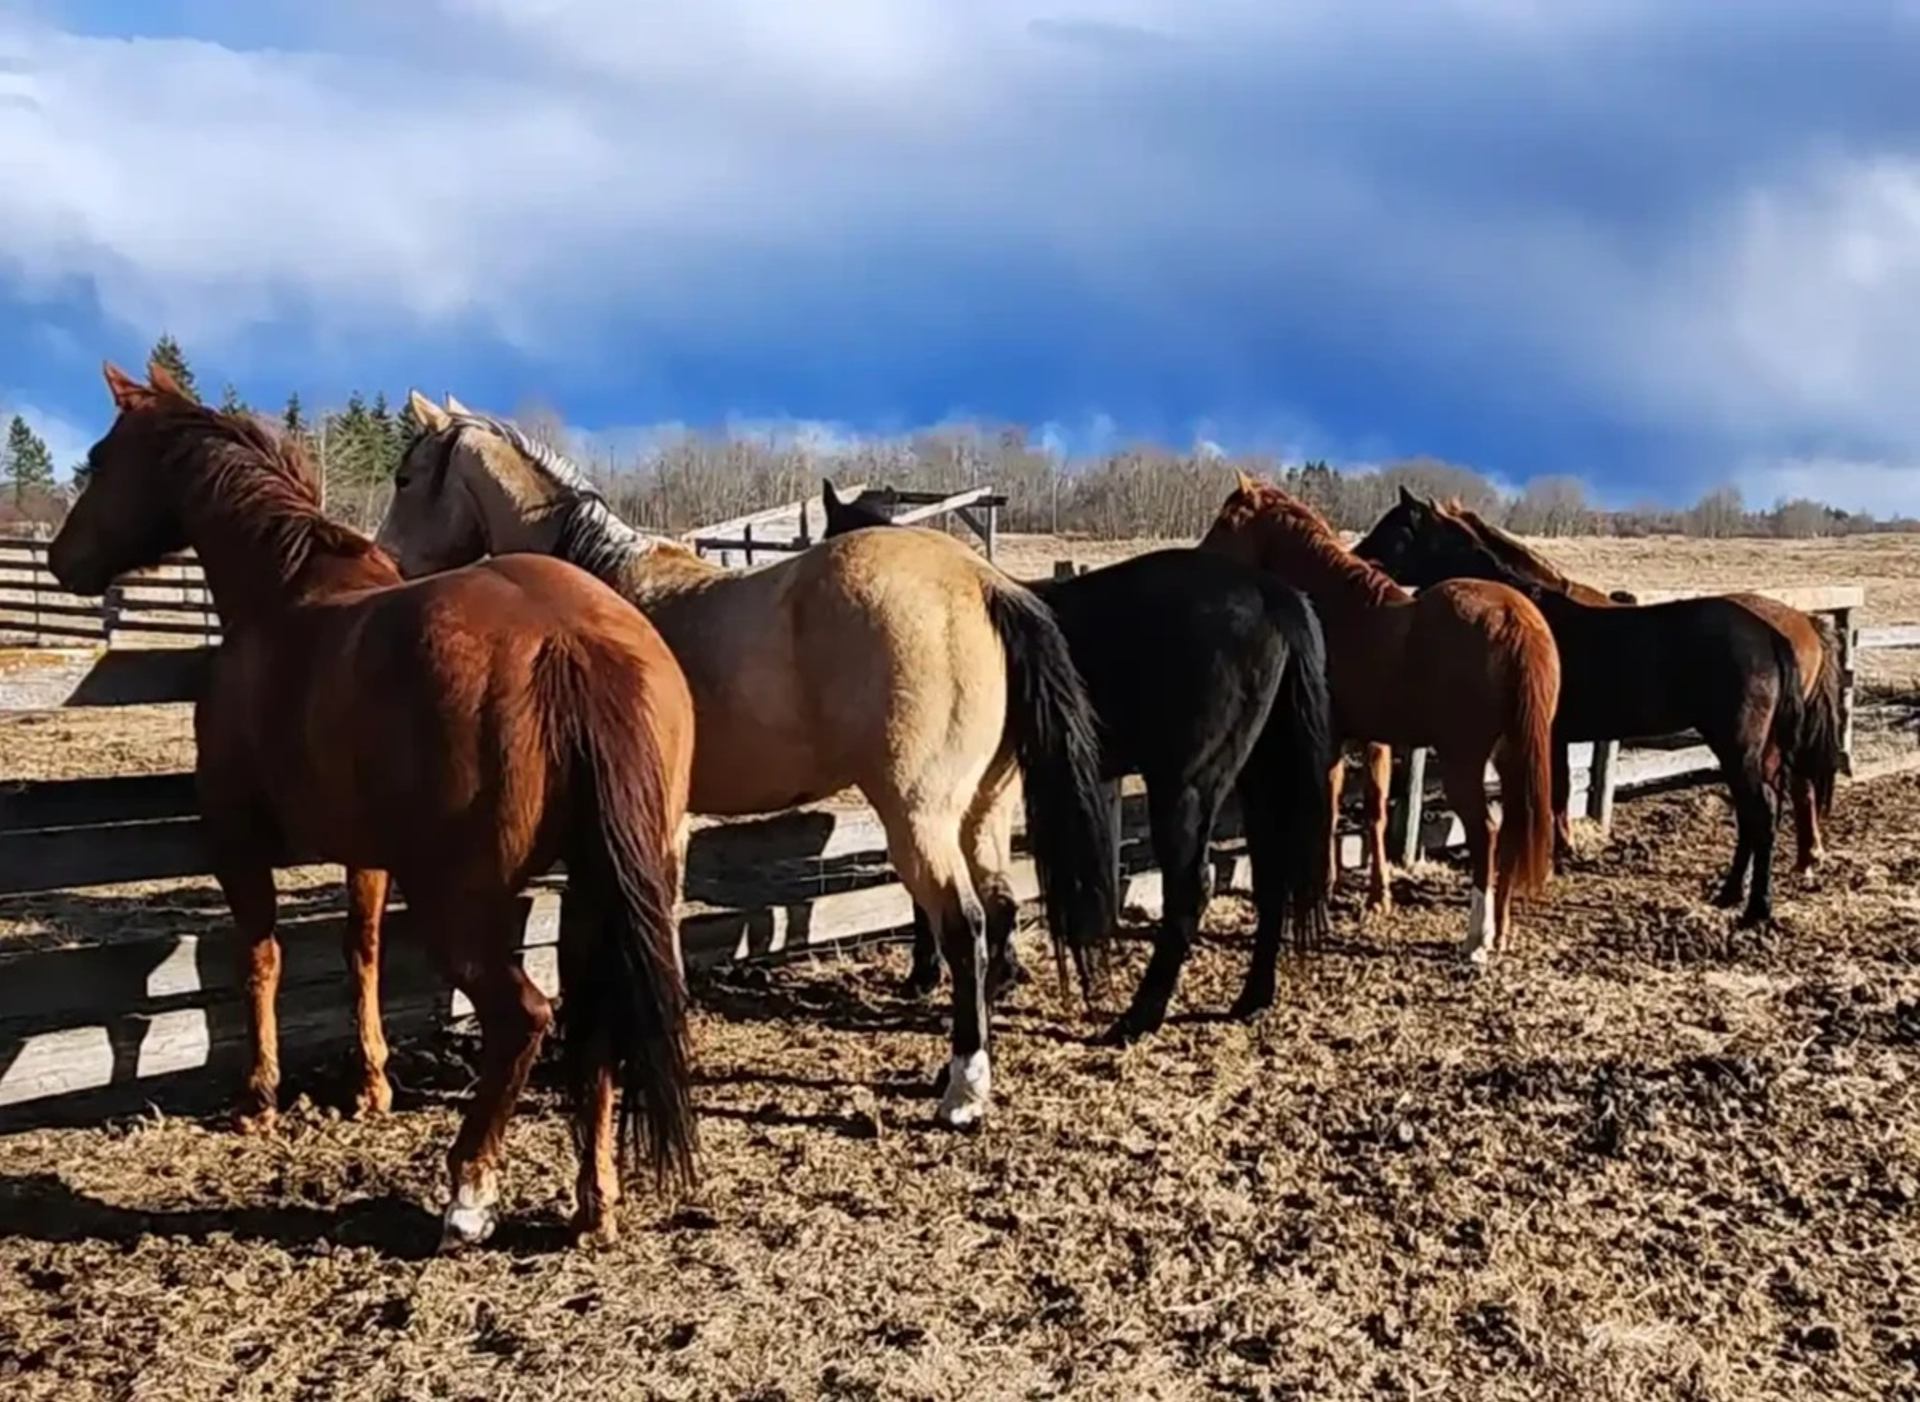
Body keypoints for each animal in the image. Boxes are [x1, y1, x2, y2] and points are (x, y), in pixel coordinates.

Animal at [48, 362, 698, 1250]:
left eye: (100, 457)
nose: (59, 559)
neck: (285, 592)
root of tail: (576, 641)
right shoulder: (368, 855)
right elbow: (362, 954)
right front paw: (371, 1086)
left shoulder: (237, 845)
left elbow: (262, 958)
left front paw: (258, 1099)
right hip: (605, 885)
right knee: (594, 1026)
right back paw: (593, 1203)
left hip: (462, 900)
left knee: (523, 1018)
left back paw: (468, 1190)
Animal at [374, 397, 1116, 1128]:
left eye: (405, 478)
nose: (386, 568)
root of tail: (982, 584)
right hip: (984, 809)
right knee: (998, 911)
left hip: (920, 819)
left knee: (963, 927)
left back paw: (962, 1091)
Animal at [820, 481, 1336, 1041]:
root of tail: (1274, 596)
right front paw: (998, 971)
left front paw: (926, 975)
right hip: (1258, 776)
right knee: (1271, 873)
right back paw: (1251, 998)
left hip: (1187, 787)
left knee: (1190, 891)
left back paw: (1138, 1018)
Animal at [1200, 473, 1562, 961]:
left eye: (1227, 521)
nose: (1199, 559)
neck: (1335, 609)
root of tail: (1515, 619)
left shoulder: (1330, 740)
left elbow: (1327, 811)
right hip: (1511, 756)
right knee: (1509, 832)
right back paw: (1500, 932)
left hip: (1464, 761)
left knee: (1485, 833)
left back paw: (1476, 939)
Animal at [1352, 491, 1835, 927]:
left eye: (1395, 529)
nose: (1355, 558)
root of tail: (1775, 632)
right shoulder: (1556, 737)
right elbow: (1558, 795)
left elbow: (1548, 797)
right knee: (1758, 814)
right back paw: (1732, 893)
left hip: (1738, 745)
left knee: (1763, 814)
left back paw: (1756, 909)